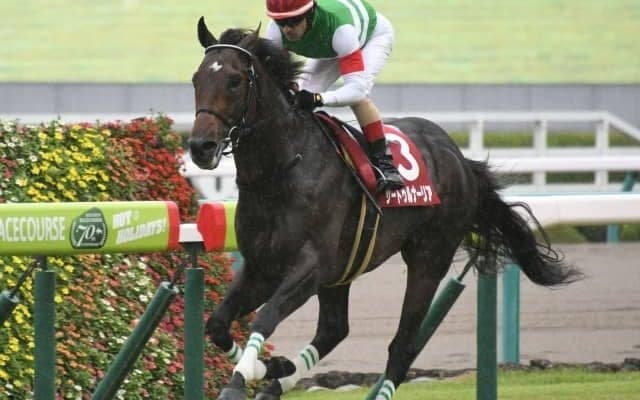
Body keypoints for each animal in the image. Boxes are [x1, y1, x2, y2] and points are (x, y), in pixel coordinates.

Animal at [188, 17, 582, 400]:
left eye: (235, 80)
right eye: (196, 78)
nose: (200, 147)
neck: (283, 170)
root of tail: (458, 157)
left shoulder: (309, 267)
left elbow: (265, 317)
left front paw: (241, 382)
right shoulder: (262, 266)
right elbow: (217, 323)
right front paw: (270, 367)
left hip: (428, 259)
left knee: (402, 347)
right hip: (344, 269)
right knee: (334, 329)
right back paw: (278, 382)